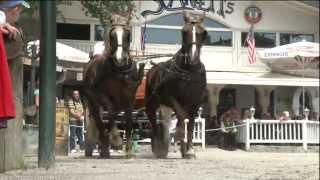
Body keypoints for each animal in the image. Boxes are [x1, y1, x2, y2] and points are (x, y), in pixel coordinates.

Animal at [82, 13, 145, 158]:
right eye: (112, 35)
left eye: (127, 34)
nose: (119, 58)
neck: (119, 71)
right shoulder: (103, 96)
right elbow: (110, 114)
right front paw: (115, 140)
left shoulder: (129, 97)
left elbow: (128, 121)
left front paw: (128, 150)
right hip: (92, 100)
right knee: (99, 120)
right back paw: (103, 146)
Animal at [144, 12, 208, 159]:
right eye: (184, 32)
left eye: (203, 33)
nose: (193, 57)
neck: (189, 71)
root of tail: (152, 70)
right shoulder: (171, 98)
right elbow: (182, 116)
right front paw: (179, 135)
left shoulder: (194, 102)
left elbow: (189, 123)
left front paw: (189, 150)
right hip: (152, 102)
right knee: (154, 122)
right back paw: (159, 146)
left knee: (169, 121)